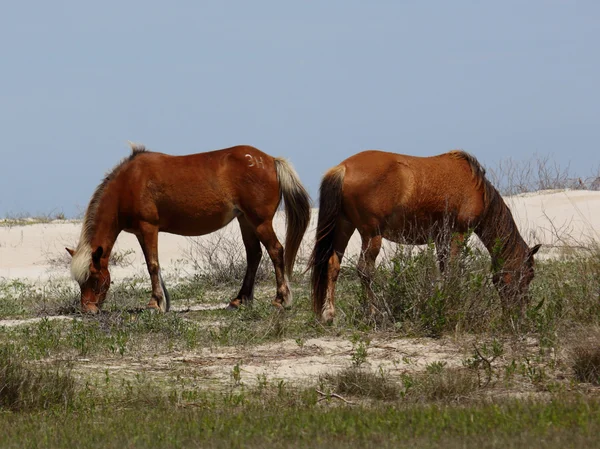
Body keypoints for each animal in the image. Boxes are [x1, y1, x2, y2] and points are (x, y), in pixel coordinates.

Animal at [67, 143, 310, 312]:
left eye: (94, 278)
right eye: (80, 281)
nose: (87, 309)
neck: (128, 184)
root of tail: (271, 160)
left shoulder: (148, 227)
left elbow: (152, 265)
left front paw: (154, 304)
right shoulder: (140, 233)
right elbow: (153, 264)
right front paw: (163, 301)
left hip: (260, 222)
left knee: (276, 251)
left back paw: (279, 299)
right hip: (245, 221)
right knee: (254, 255)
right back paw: (239, 300)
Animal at [310, 150, 540, 322]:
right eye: (529, 274)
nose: (520, 314)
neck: (477, 188)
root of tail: (343, 168)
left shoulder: (441, 238)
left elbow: (444, 269)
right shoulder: (458, 234)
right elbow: (452, 271)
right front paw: (450, 302)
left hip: (343, 227)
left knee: (333, 265)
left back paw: (329, 314)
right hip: (371, 234)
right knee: (365, 271)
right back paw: (375, 313)